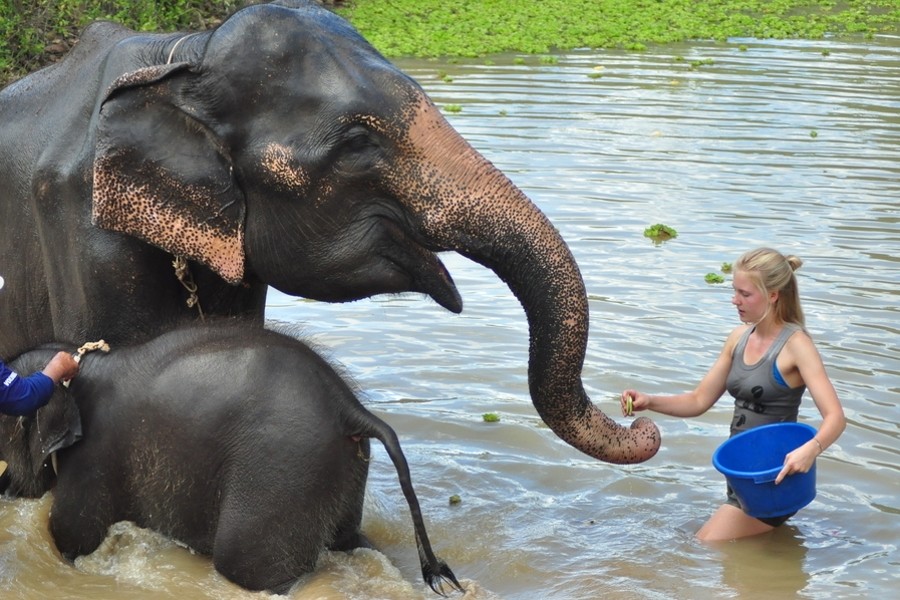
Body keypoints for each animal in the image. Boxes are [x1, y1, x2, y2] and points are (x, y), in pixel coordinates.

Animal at [0, 322, 460, 592]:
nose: (6, 489)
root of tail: (350, 406)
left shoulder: (92, 458)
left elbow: (71, 535)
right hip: (340, 471)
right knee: (350, 542)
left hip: (282, 470)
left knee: (246, 566)